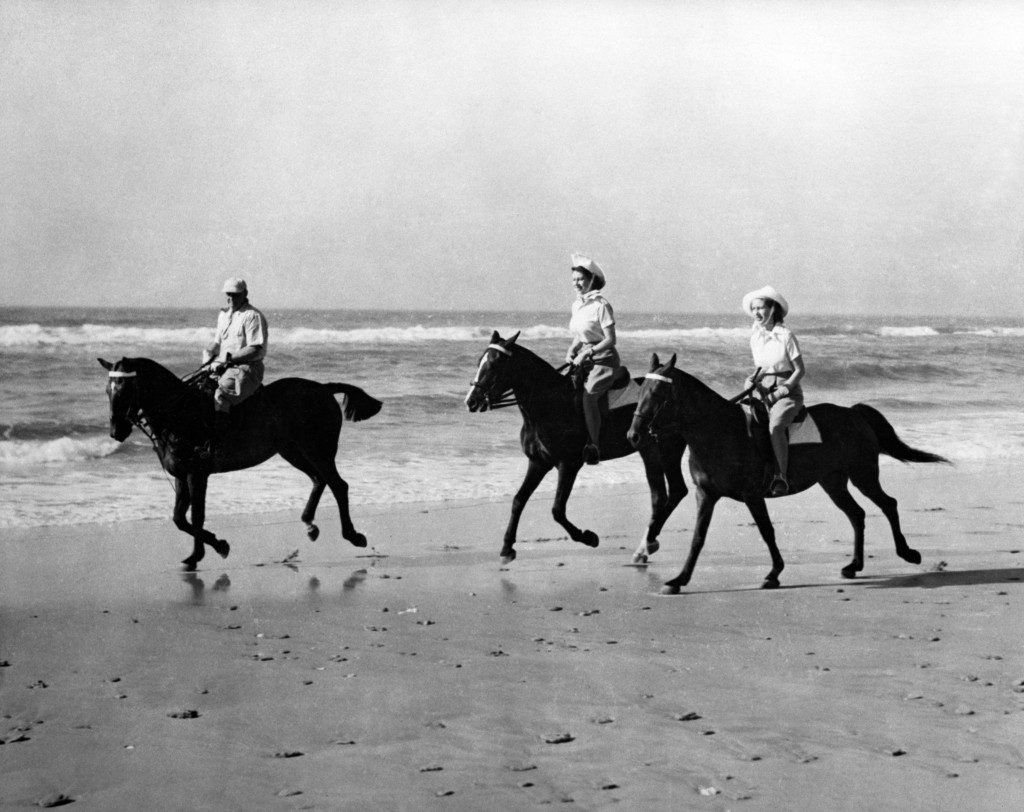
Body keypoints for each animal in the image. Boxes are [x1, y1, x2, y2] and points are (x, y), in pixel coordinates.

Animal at [99, 354, 382, 569]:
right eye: (107, 390)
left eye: (125, 388)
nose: (116, 432)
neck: (181, 414)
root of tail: (324, 388)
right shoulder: (181, 475)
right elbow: (180, 518)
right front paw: (204, 551)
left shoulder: (197, 474)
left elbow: (197, 517)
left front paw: (213, 548)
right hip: (293, 451)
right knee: (319, 480)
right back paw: (310, 525)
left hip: (318, 451)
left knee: (338, 485)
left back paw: (353, 535)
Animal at [464, 329, 688, 565]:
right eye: (479, 362)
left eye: (494, 365)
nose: (471, 401)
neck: (550, 404)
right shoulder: (538, 462)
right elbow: (518, 500)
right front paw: (507, 548)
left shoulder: (569, 464)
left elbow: (557, 510)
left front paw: (589, 537)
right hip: (655, 452)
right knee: (669, 493)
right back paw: (647, 545)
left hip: (663, 451)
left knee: (670, 493)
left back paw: (647, 545)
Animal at [622, 352, 950, 593]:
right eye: (642, 391)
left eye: (658, 393)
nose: (633, 435)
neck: (718, 432)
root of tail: (854, 413)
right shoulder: (707, 495)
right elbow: (698, 538)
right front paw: (679, 580)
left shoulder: (753, 495)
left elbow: (766, 531)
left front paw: (773, 574)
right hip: (833, 482)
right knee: (856, 514)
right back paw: (854, 566)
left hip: (863, 475)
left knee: (887, 504)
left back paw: (908, 553)